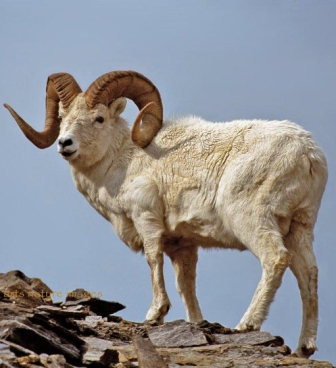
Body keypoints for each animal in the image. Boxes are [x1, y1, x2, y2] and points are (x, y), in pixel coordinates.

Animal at [3, 70, 326, 358]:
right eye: (63, 118)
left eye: (99, 118)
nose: (65, 143)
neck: (124, 160)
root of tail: (307, 154)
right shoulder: (182, 245)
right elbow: (186, 286)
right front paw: (197, 323)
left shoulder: (146, 220)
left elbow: (152, 260)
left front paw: (154, 315)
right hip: (299, 227)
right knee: (308, 273)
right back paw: (304, 347)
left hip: (251, 219)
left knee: (276, 259)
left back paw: (247, 324)